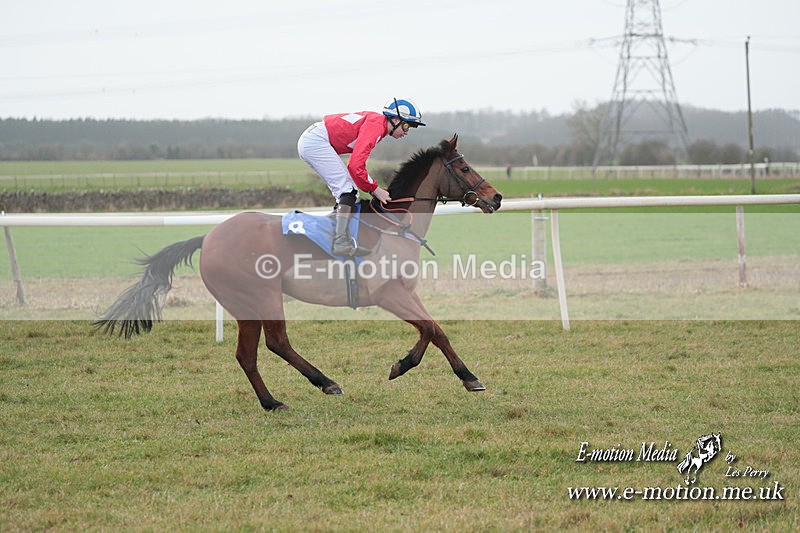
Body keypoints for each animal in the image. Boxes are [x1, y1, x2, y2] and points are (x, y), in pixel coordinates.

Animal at [96, 135, 503, 411]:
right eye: (465, 167)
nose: (496, 197)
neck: (394, 226)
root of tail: (208, 237)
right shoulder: (388, 294)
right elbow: (431, 329)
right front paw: (433, 371)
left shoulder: (405, 291)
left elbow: (433, 330)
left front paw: (437, 371)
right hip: (259, 295)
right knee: (271, 345)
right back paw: (315, 386)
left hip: (249, 303)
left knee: (252, 353)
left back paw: (280, 398)